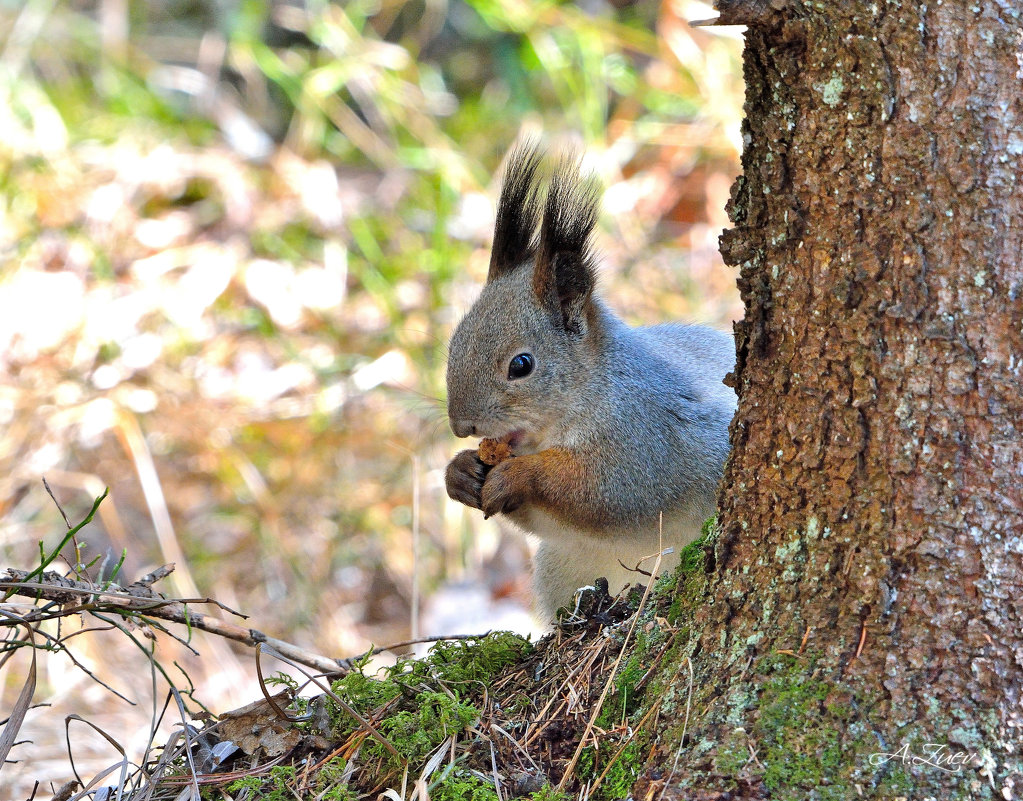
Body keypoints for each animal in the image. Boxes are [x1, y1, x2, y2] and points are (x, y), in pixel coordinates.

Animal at [441, 142, 736, 621]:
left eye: (521, 365)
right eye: (454, 343)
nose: (460, 425)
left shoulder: (649, 436)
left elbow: (604, 492)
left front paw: (519, 475)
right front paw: (460, 472)